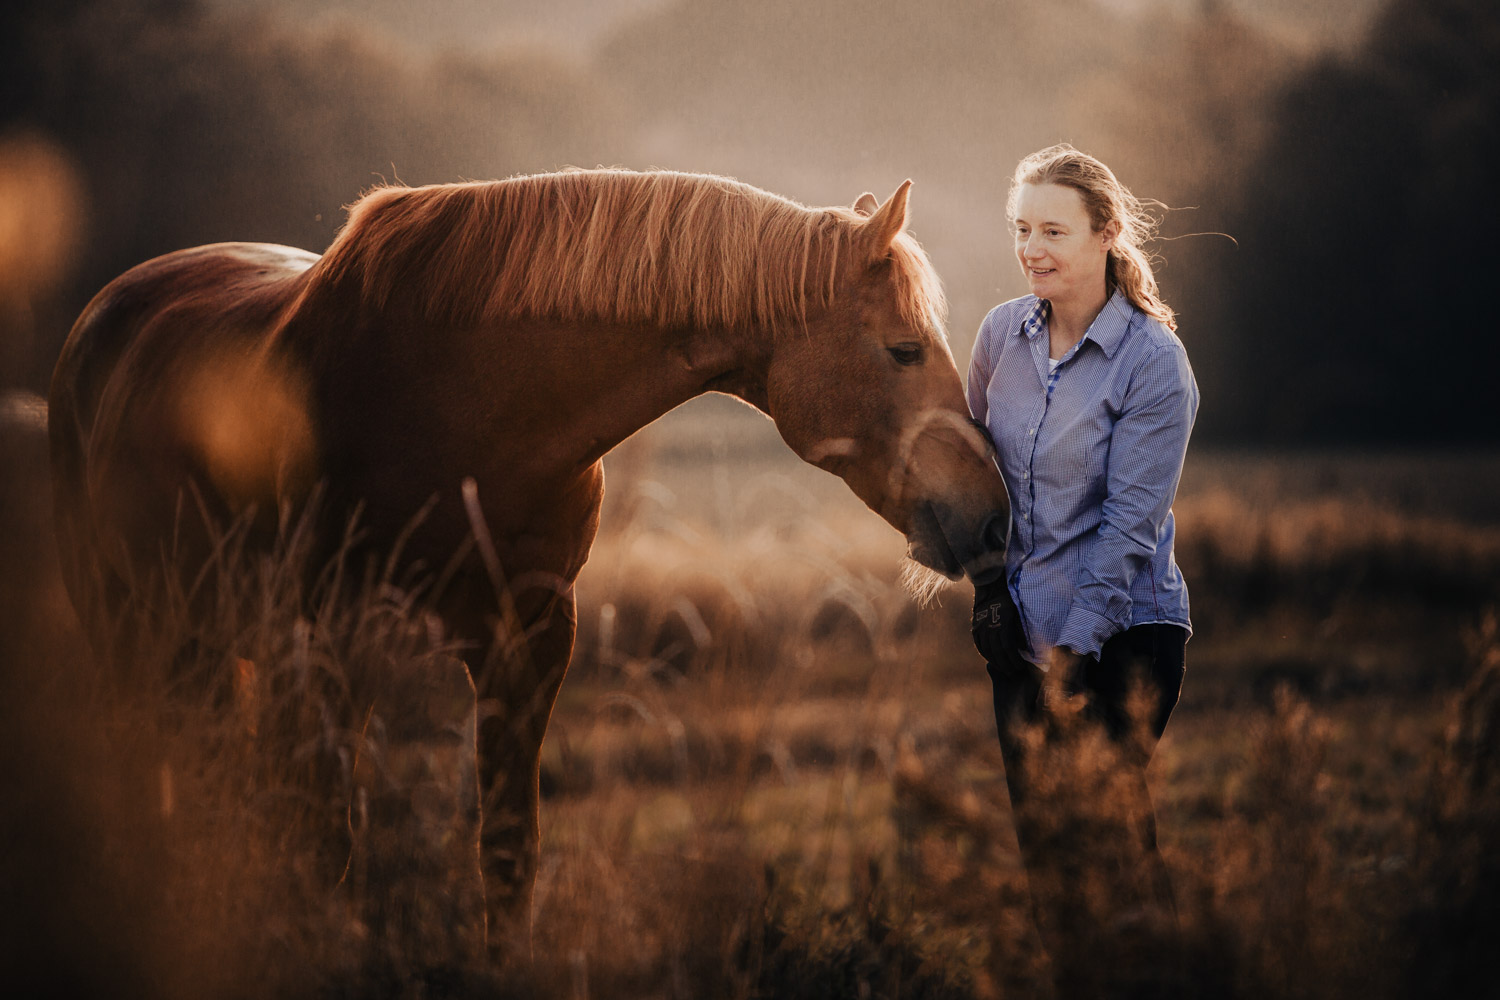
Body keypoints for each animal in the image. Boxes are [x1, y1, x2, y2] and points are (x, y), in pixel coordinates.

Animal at [49, 170, 1008, 953]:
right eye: (903, 349)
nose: (992, 509)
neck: (460, 407)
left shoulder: (530, 642)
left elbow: (508, 854)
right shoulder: (329, 647)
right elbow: (331, 845)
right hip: (130, 625)